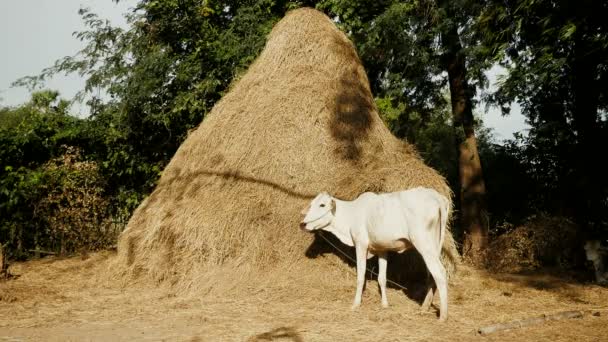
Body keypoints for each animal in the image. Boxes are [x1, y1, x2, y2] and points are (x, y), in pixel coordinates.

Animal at [300, 187, 452, 320]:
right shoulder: (382, 249)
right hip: (434, 246)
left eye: (322, 205)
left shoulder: (361, 245)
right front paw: (384, 304)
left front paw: (355, 304)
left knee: (440, 273)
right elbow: (382, 278)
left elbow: (361, 277)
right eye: (311, 203)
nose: (302, 224)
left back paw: (443, 316)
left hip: (424, 244)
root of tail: (436, 196)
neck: (351, 215)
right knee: (432, 275)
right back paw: (424, 307)